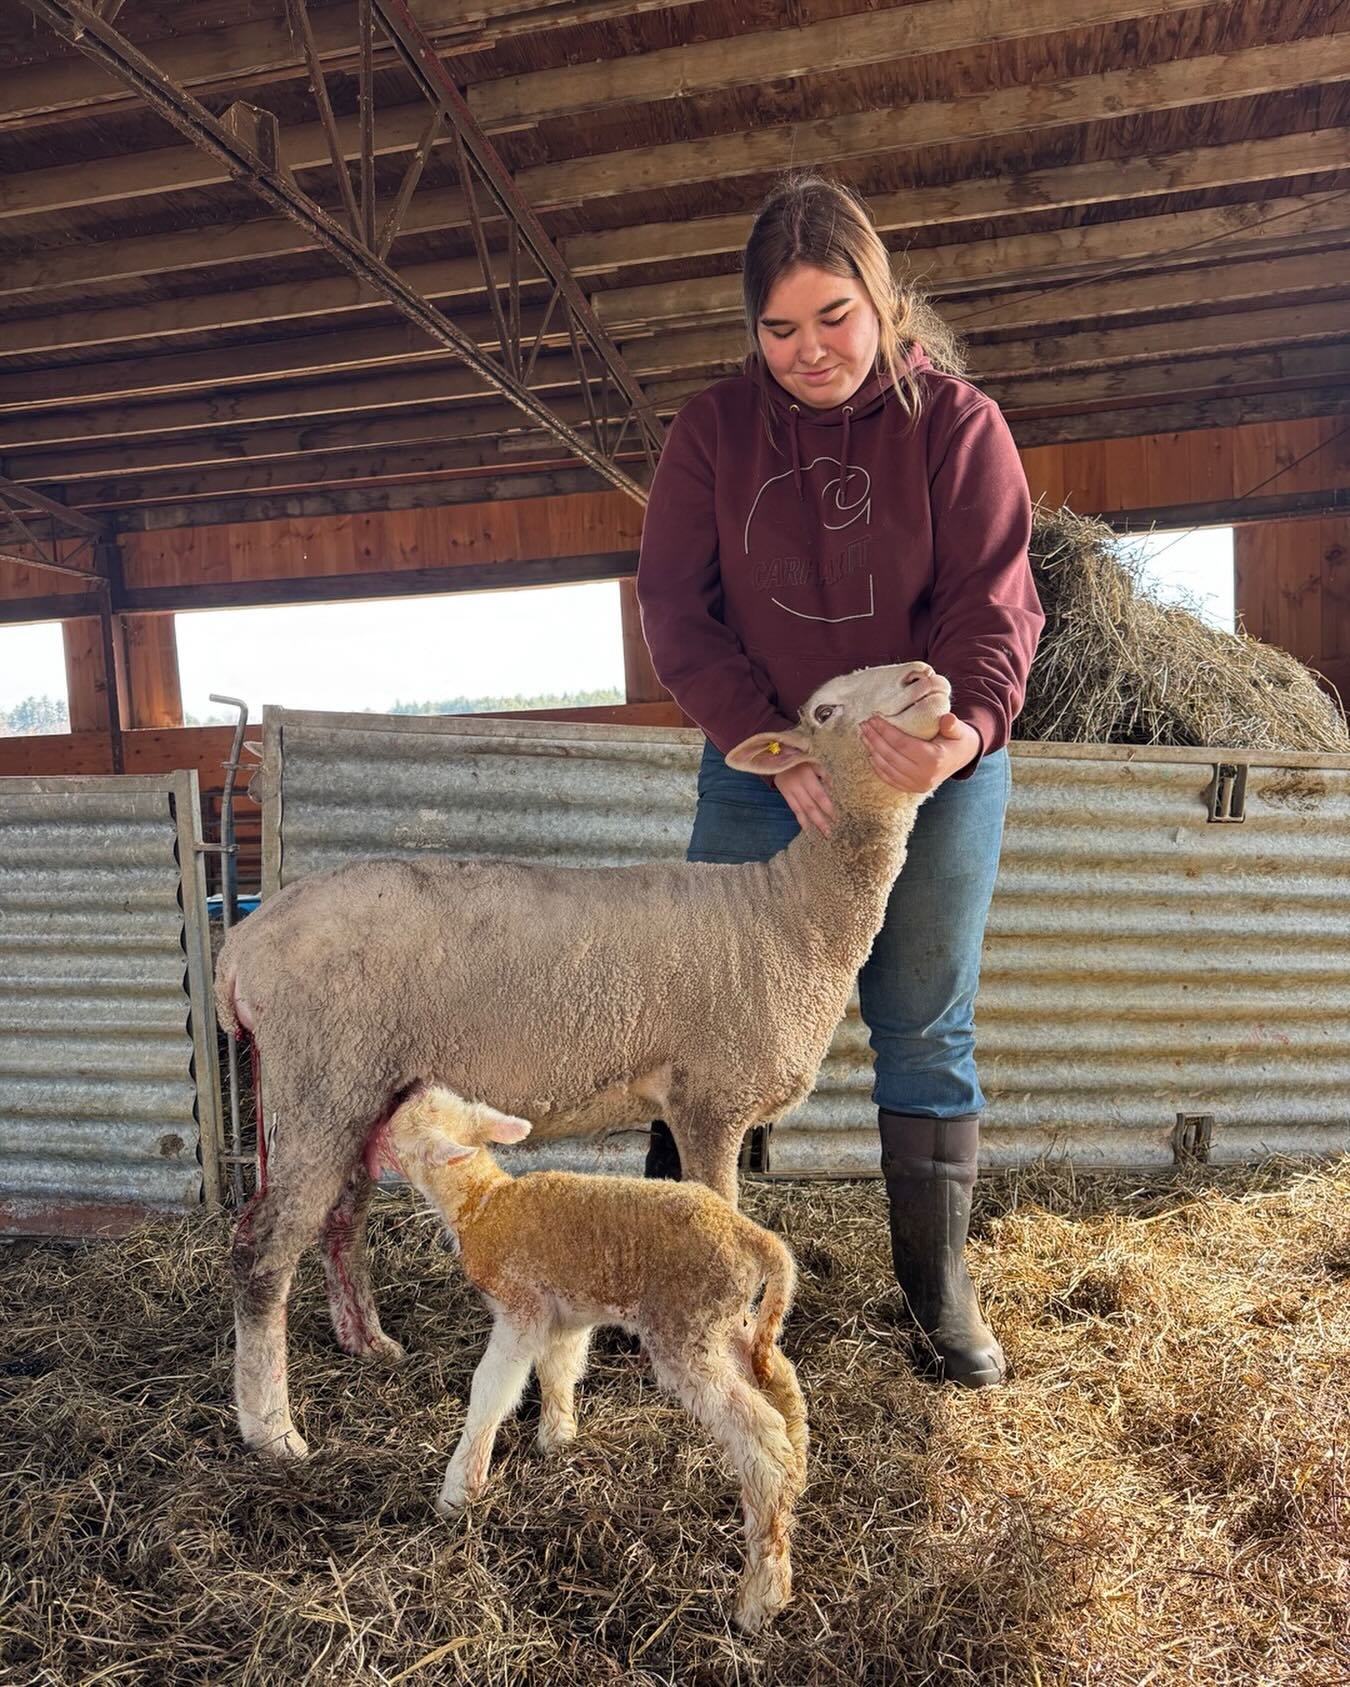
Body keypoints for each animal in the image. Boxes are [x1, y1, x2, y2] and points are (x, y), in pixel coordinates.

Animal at [217, 659, 951, 1459]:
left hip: (361, 1084)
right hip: (324, 1073)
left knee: (340, 1217)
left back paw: (367, 1343)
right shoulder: (712, 1096)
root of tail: (245, 944)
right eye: (824, 710)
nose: (924, 675)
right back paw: (272, 1429)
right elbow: (721, 1207)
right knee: (262, 1249)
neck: (789, 913)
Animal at [381, 1083, 808, 1634]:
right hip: (726, 1324)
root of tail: (753, 1238)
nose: (374, 1131)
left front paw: (459, 1490)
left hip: (686, 1327)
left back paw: (760, 1595)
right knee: (785, 1390)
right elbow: (559, 1367)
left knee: (761, 1434)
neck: (485, 1205)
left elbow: (492, 1388)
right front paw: (558, 1438)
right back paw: (795, 1493)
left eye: (394, 1129)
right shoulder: (566, 1316)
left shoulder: (521, 1309)